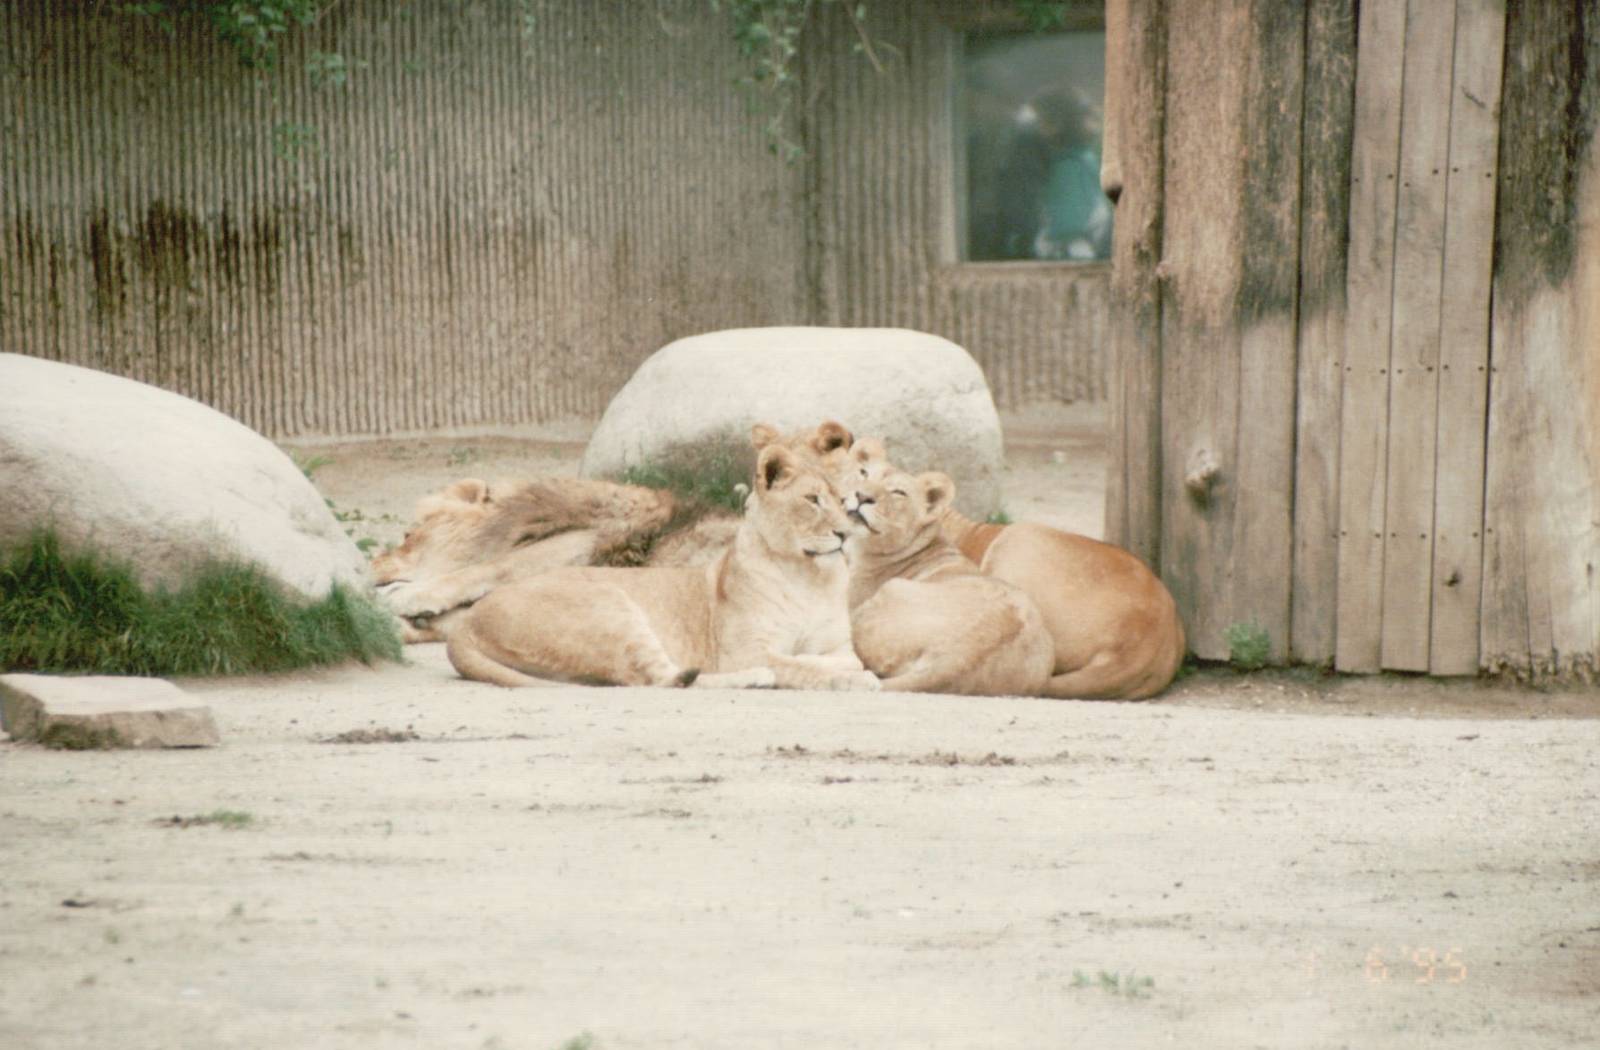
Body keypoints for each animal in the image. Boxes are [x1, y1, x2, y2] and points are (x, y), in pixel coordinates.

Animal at [444, 442, 881, 691]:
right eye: (812, 500)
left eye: (846, 502)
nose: (845, 534)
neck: (809, 577)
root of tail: (466, 623)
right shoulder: (744, 651)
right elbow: (807, 667)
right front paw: (847, 678)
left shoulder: (836, 644)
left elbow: (838, 657)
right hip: (611, 609)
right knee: (653, 677)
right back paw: (754, 679)